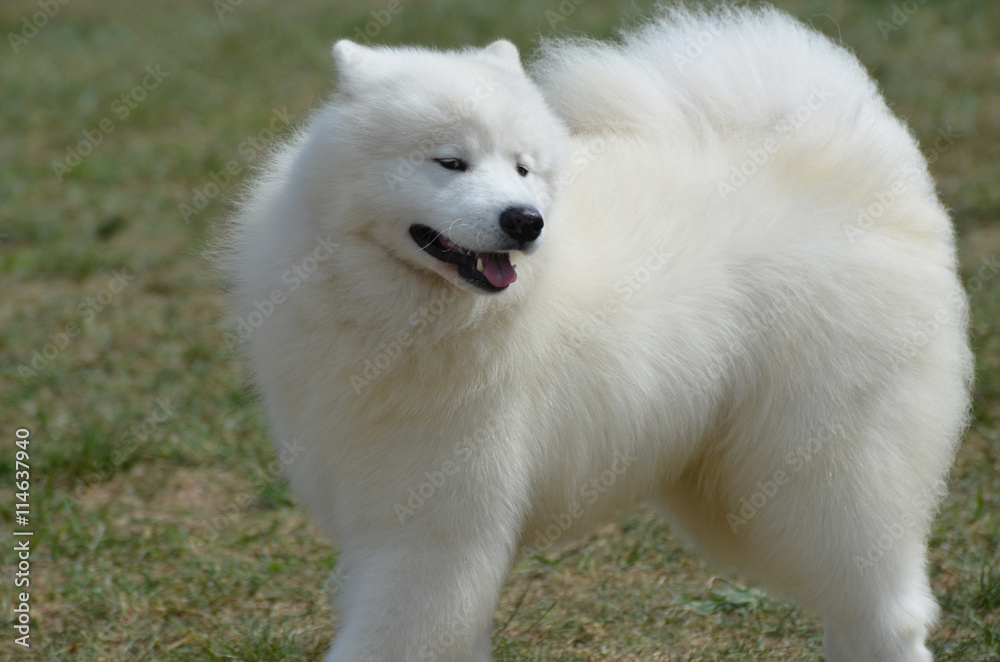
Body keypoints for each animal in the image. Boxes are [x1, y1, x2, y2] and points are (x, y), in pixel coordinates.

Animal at [225, 5, 968, 662]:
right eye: (450, 162)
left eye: (522, 167)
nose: (525, 219)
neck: (399, 313)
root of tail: (861, 167)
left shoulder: (429, 534)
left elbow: (385, 641)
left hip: (819, 474)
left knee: (886, 613)